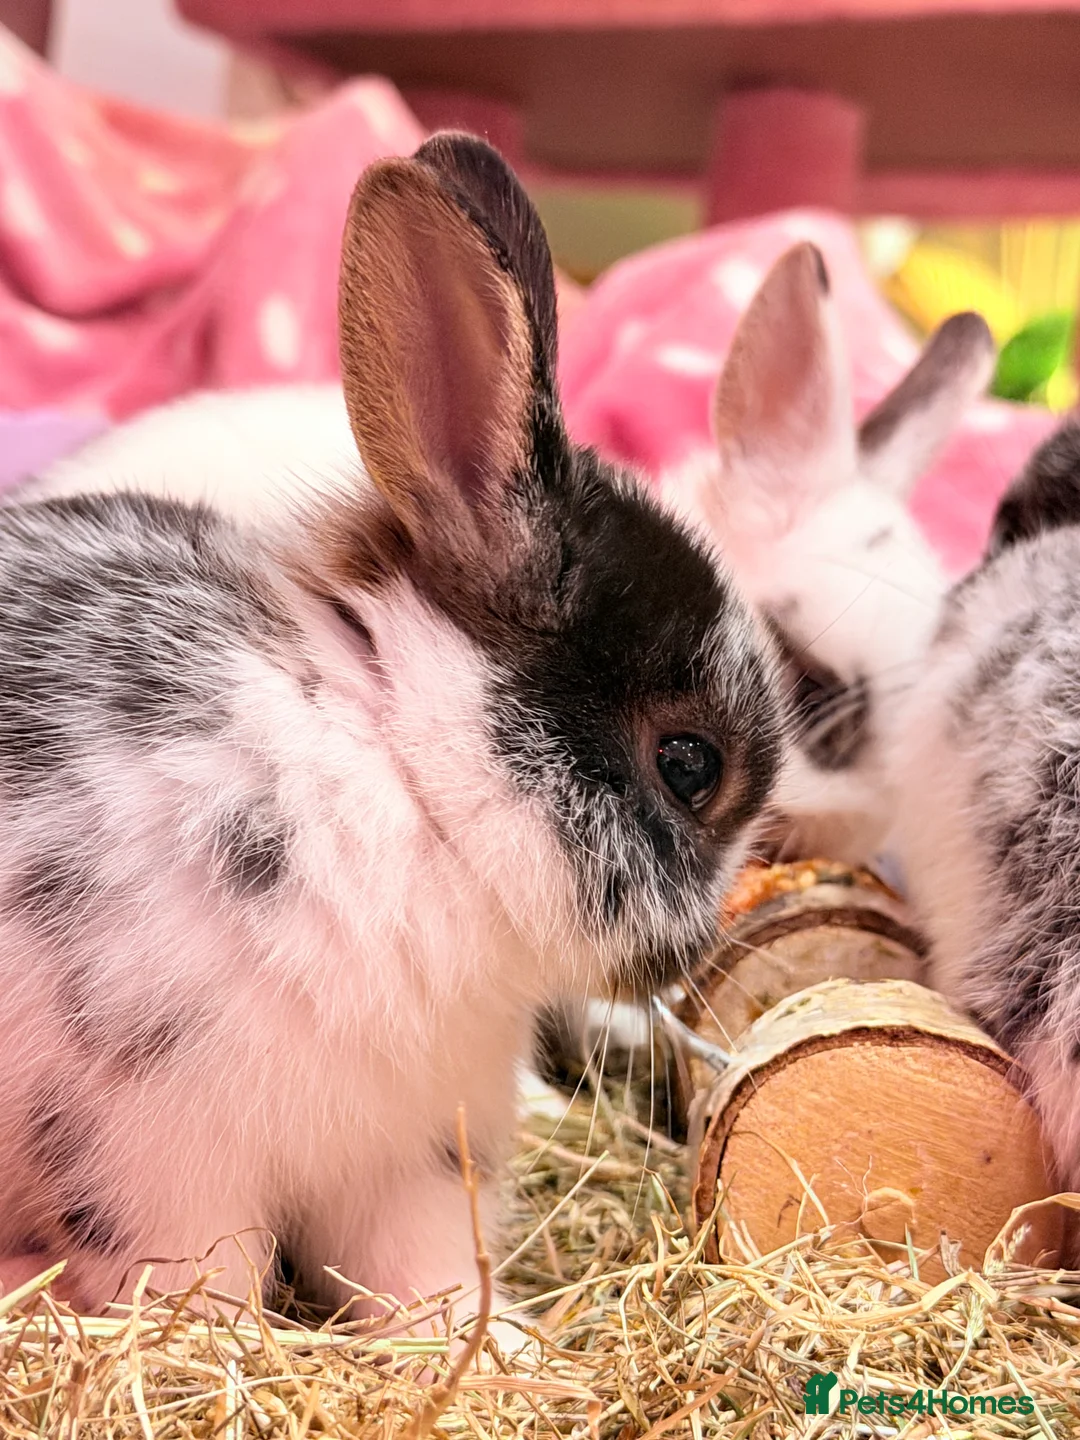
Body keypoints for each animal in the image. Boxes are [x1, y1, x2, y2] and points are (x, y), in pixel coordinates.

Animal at [0, 132, 785, 1332]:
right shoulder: (153, 1159)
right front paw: (233, 1350)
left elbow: (424, 1279)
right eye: (689, 764)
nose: (695, 951)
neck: (409, 788)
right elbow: (199, 1288)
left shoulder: (408, 1162)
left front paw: (502, 1347)